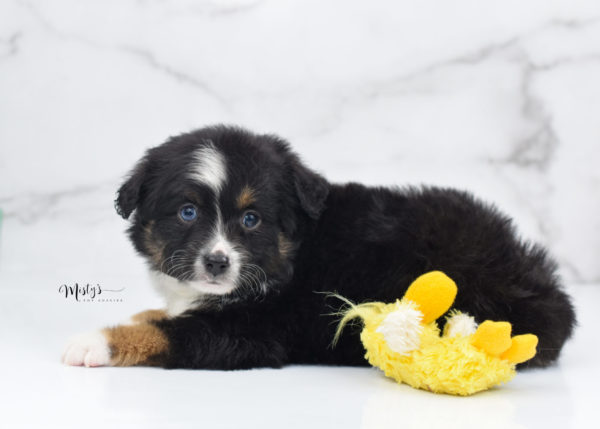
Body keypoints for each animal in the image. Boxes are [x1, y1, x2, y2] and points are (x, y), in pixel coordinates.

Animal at [61, 123, 576, 368]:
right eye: (187, 212)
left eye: (251, 219)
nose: (216, 263)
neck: (289, 256)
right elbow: (166, 315)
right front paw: (148, 312)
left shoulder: (253, 332)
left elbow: (166, 334)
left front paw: (93, 342)